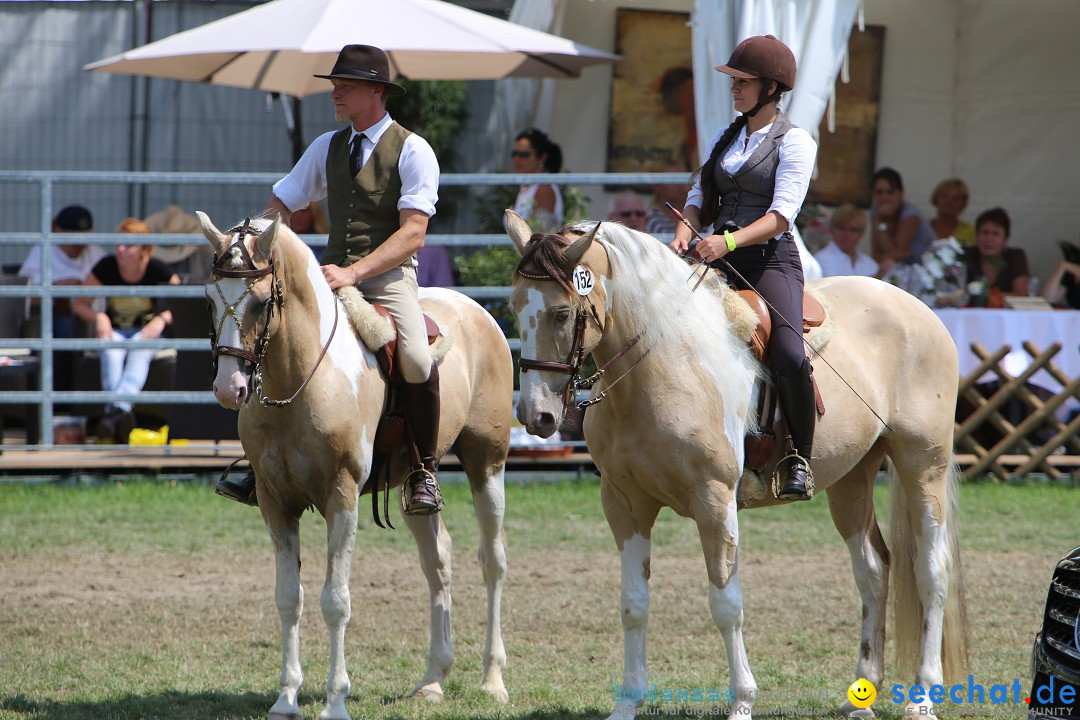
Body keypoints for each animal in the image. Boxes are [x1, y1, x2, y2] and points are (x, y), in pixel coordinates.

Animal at [199, 215, 514, 720]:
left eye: (262, 301)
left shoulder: (340, 499)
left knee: (493, 561)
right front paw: (286, 698)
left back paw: (492, 679)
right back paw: (433, 679)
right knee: (438, 561)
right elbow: (288, 597)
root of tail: (475, 311)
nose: (230, 388)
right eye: (210, 299)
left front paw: (335, 701)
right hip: (412, 483)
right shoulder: (274, 502)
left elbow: (335, 601)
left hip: (487, 463)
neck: (302, 379)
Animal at [505, 212, 972, 720]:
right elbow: (634, 604)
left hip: (923, 465)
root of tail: (917, 309)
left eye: (561, 313)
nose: (536, 416)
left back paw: (923, 696)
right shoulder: (625, 505)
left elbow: (727, 604)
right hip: (852, 479)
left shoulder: (715, 503)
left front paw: (742, 702)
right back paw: (861, 693)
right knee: (872, 570)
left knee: (932, 572)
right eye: (513, 307)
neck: (667, 363)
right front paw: (627, 703)